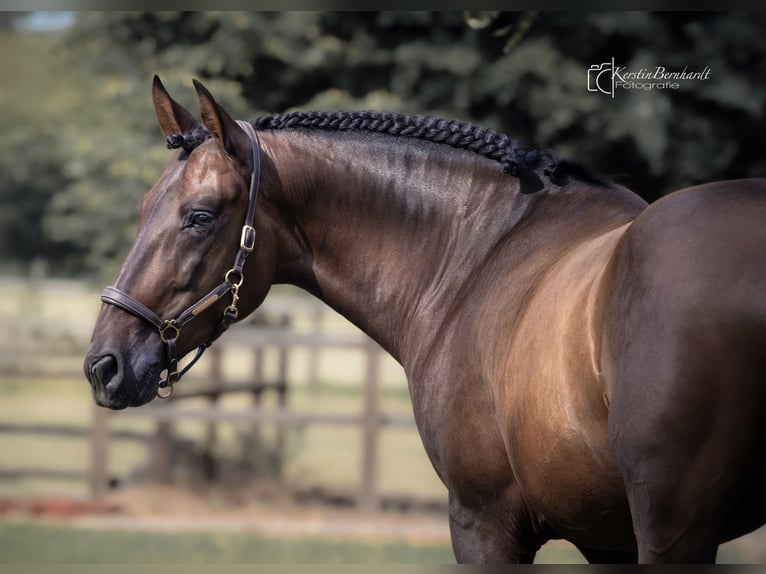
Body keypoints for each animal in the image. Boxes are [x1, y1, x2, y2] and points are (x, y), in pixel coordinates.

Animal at [84, 76, 766, 563]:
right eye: (145, 207)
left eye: (199, 216)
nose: (103, 365)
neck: (475, 256)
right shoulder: (606, 537)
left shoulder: (484, 521)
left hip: (673, 529)